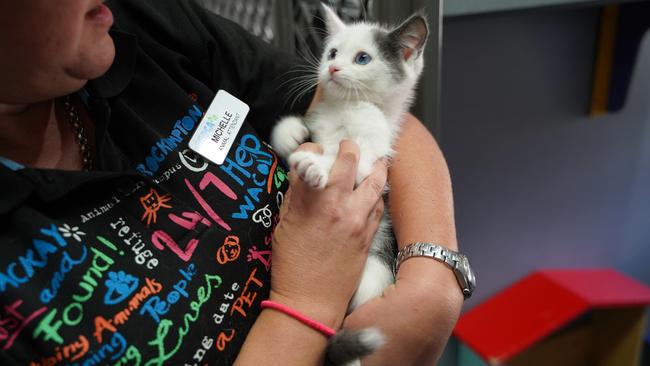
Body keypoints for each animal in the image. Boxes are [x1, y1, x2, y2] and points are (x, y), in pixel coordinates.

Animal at [270, 5, 428, 366]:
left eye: (363, 58)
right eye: (332, 52)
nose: (332, 68)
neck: (348, 107)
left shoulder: (373, 155)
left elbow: (351, 161)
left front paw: (316, 165)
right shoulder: (318, 125)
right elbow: (295, 135)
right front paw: (290, 136)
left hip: (373, 274)